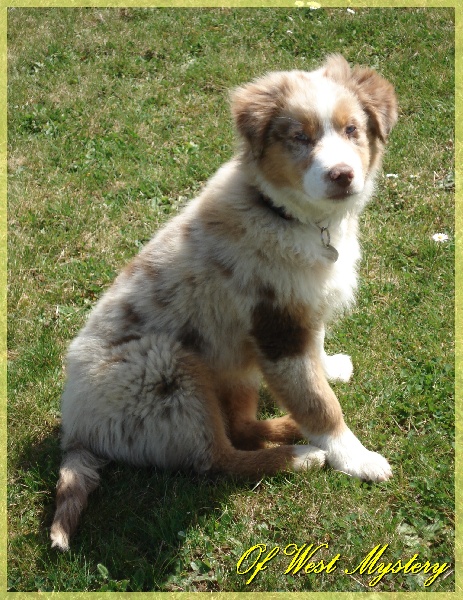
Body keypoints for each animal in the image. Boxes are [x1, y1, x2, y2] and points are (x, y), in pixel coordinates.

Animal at [50, 54, 398, 552]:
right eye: (300, 137)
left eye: (352, 129)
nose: (342, 175)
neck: (285, 215)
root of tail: (75, 432)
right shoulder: (275, 327)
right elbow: (318, 403)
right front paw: (355, 458)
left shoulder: (298, 311)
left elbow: (315, 363)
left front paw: (329, 368)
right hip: (169, 372)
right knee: (216, 458)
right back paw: (300, 456)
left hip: (229, 367)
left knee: (241, 427)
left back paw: (289, 431)